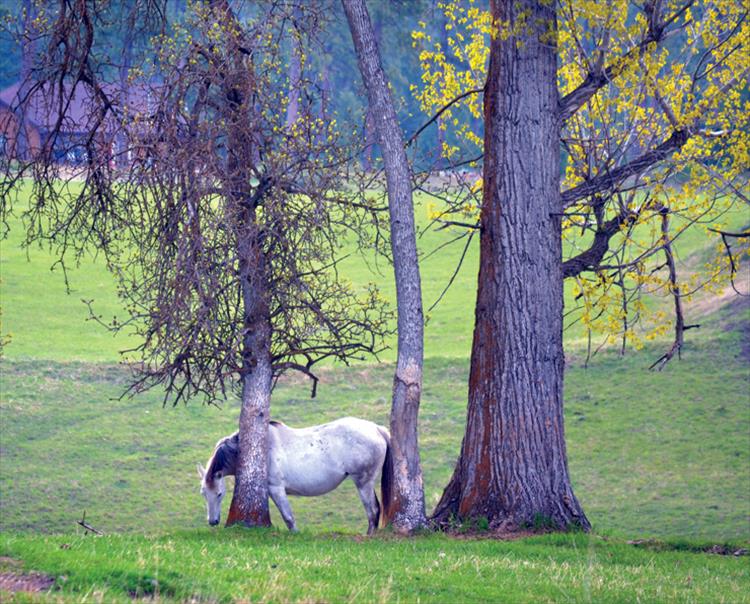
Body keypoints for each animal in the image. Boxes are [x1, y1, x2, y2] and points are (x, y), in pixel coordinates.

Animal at [198, 418, 394, 536]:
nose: (212, 521)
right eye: (203, 494)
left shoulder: (276, 489)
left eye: (219, 494)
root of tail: (377, 429)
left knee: (373, 510)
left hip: (363, 482)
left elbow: (288, 516)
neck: (264, 449)